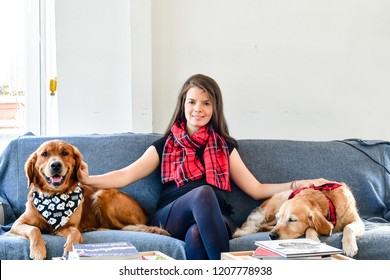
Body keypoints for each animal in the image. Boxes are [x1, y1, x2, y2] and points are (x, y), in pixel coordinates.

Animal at [9, 140, 170, 260]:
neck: (54, 196)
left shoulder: (69, 226)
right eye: (45, 154)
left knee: (118, 227)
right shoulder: (18, 224)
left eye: (64, 153)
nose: (56, 165)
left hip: (102, 194)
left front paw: (70, 251)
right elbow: (34, 229)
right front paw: (38, 250)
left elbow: (75, 233)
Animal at [235, 183, 366, 258]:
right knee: (259, 225)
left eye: (292, 220)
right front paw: (313, 239)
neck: (328, 201)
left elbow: (348, 227)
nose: (272, 236)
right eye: (279, 218)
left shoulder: (358, 221)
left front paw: (349, 246)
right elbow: (310, 228)